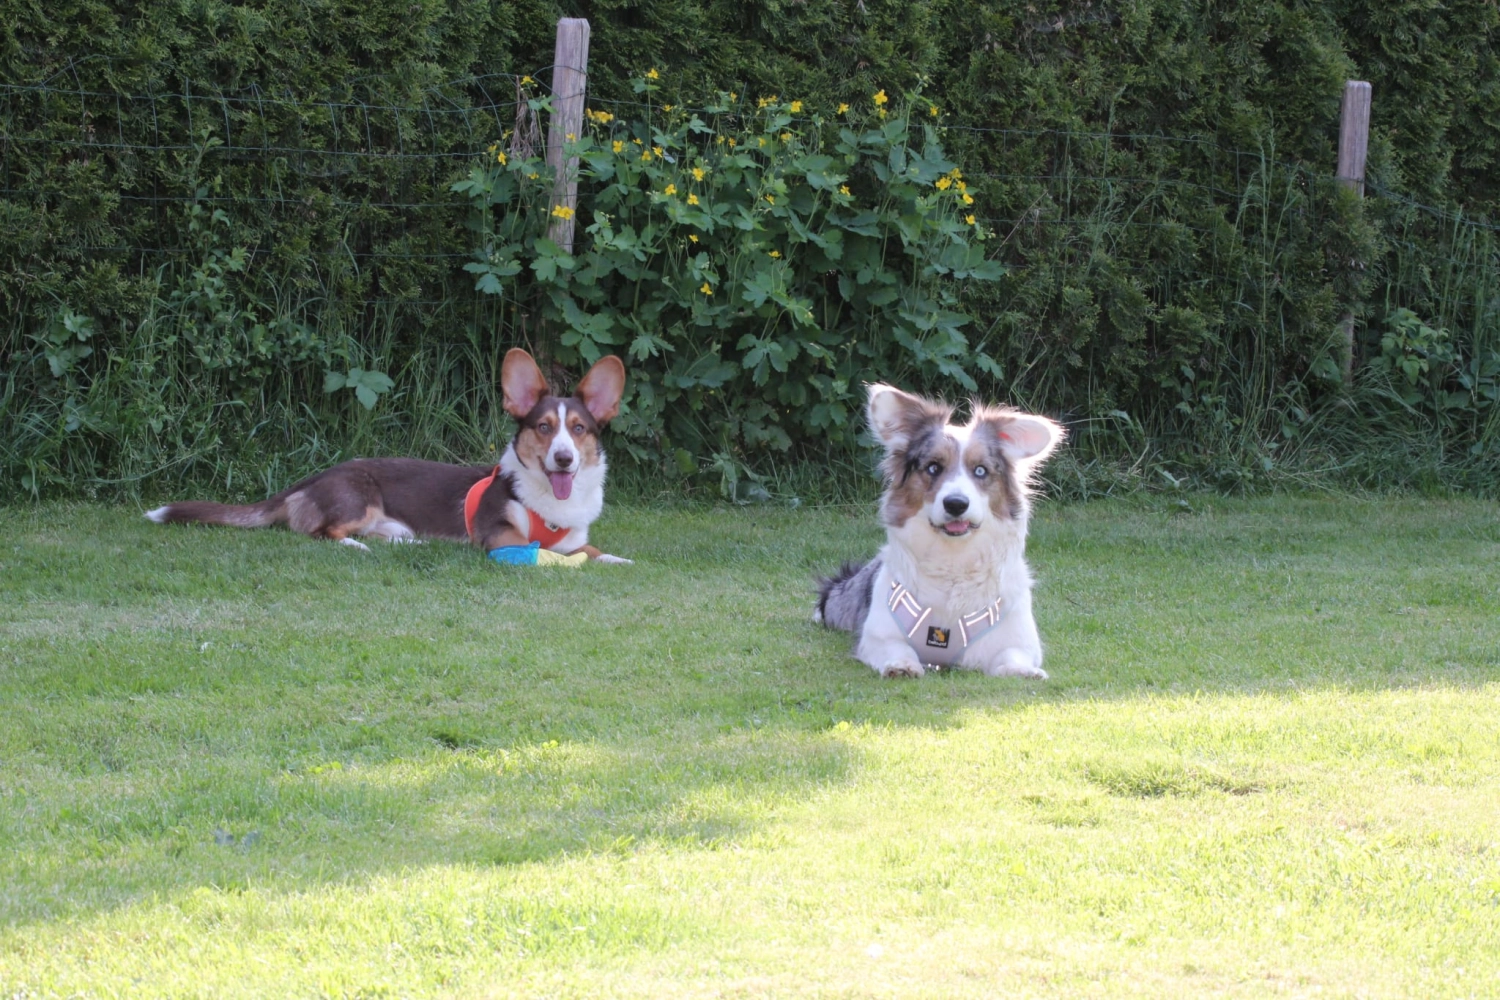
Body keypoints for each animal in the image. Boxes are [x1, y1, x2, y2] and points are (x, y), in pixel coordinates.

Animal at [143, 347, 630, 560]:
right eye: (544, 428)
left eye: (579, 429)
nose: (564, 459)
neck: (549, 501)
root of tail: (310, 479)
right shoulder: (498, 537)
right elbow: (551, 552)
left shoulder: (575, 536)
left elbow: (592, 550)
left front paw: (619, 559)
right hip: (358, 500)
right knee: (320, 533)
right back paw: (356, 545)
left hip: (389, 521)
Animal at [816, 383, 1062, 680]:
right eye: (933, 467)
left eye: (980, 471)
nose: (956, 503)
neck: (953, 561)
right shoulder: (877, 635)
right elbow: (897, 647)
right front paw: (902, 665)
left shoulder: (1019, 640)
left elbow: (1013, 655)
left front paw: (1022, 671)